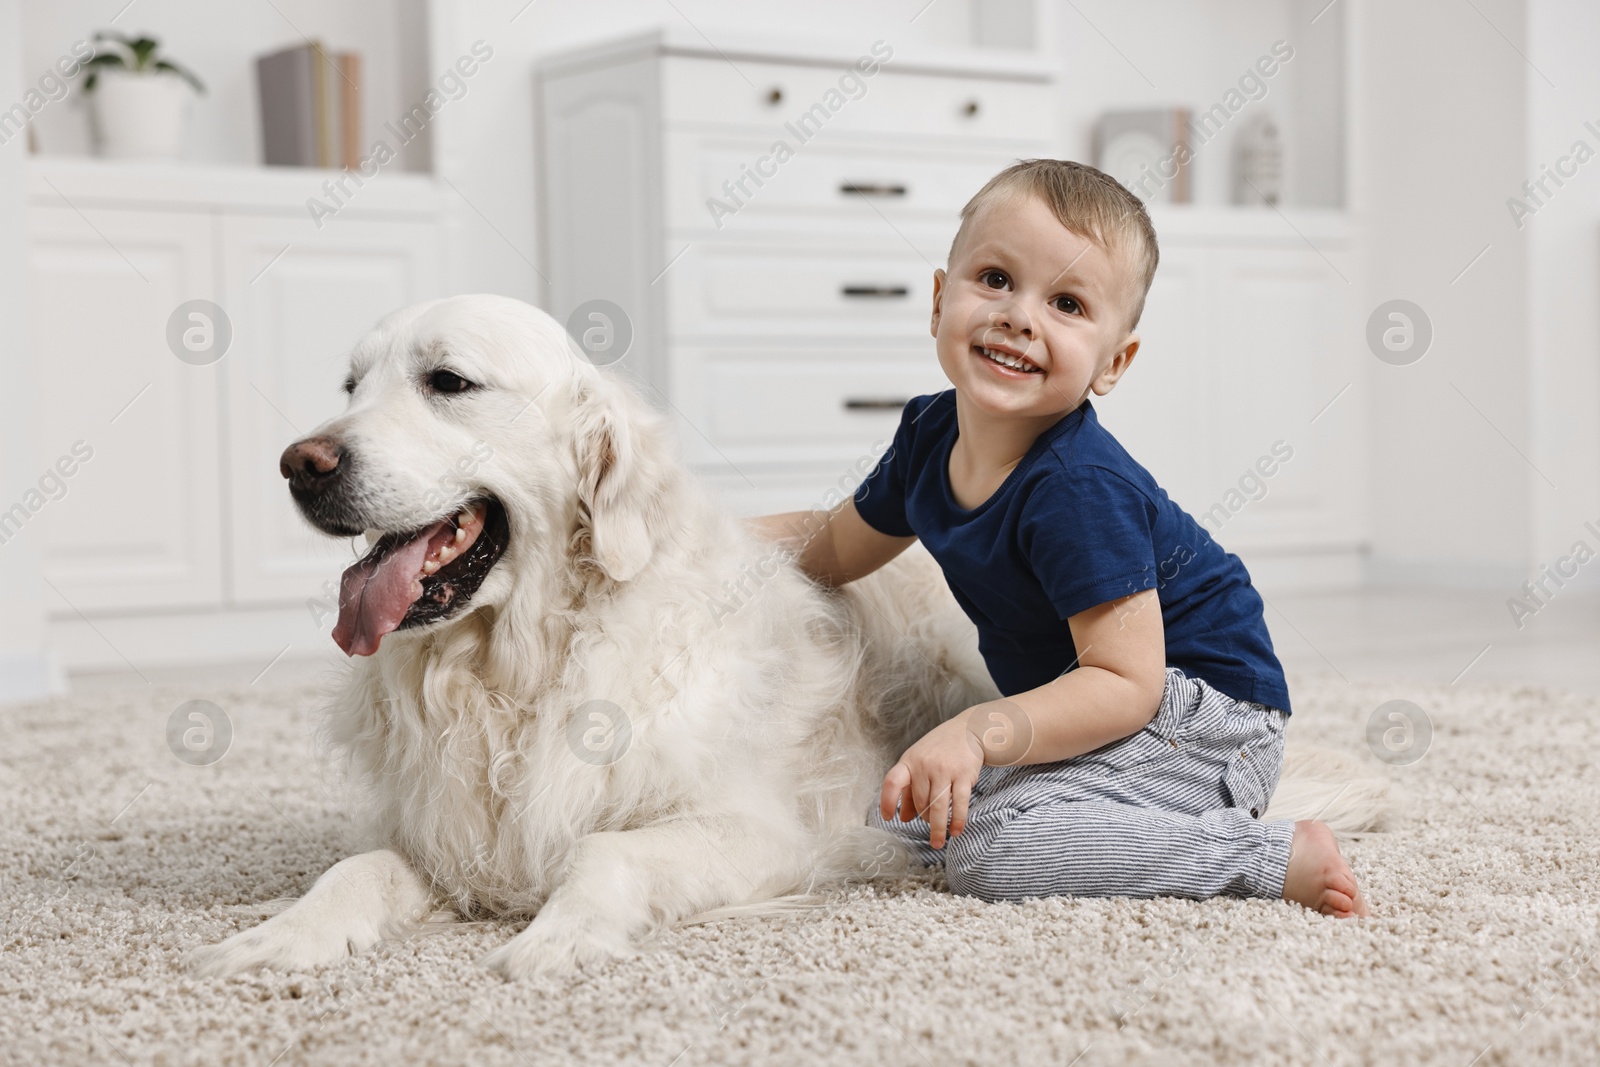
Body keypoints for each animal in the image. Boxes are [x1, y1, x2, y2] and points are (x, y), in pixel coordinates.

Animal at [187, 295, 1382, 979]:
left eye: (449, 382)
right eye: (351, 384)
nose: (300, 463)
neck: (526, 666)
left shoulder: (774, 831)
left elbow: (605, 849)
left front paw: (558, 937)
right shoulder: (448, 830)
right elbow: (360, 865)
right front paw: (280, 934)